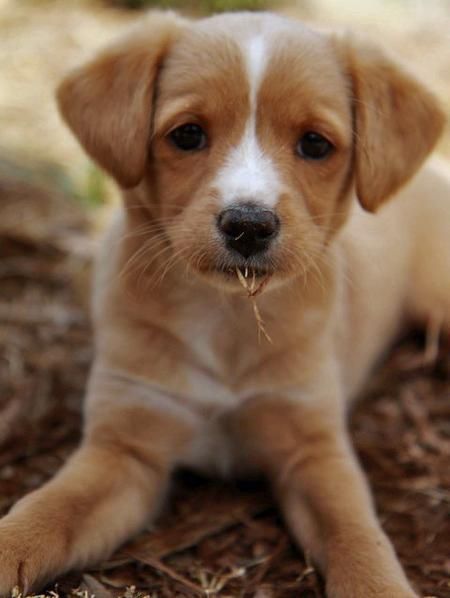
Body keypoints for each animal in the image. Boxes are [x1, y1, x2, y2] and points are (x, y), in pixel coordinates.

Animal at [0, 9, 450, 598]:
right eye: (188, 134)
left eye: (315, 144)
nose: (248, 225)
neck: (227, 316)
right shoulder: (125, 447)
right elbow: (49, 510)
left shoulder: (314, 446)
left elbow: (358, 537)